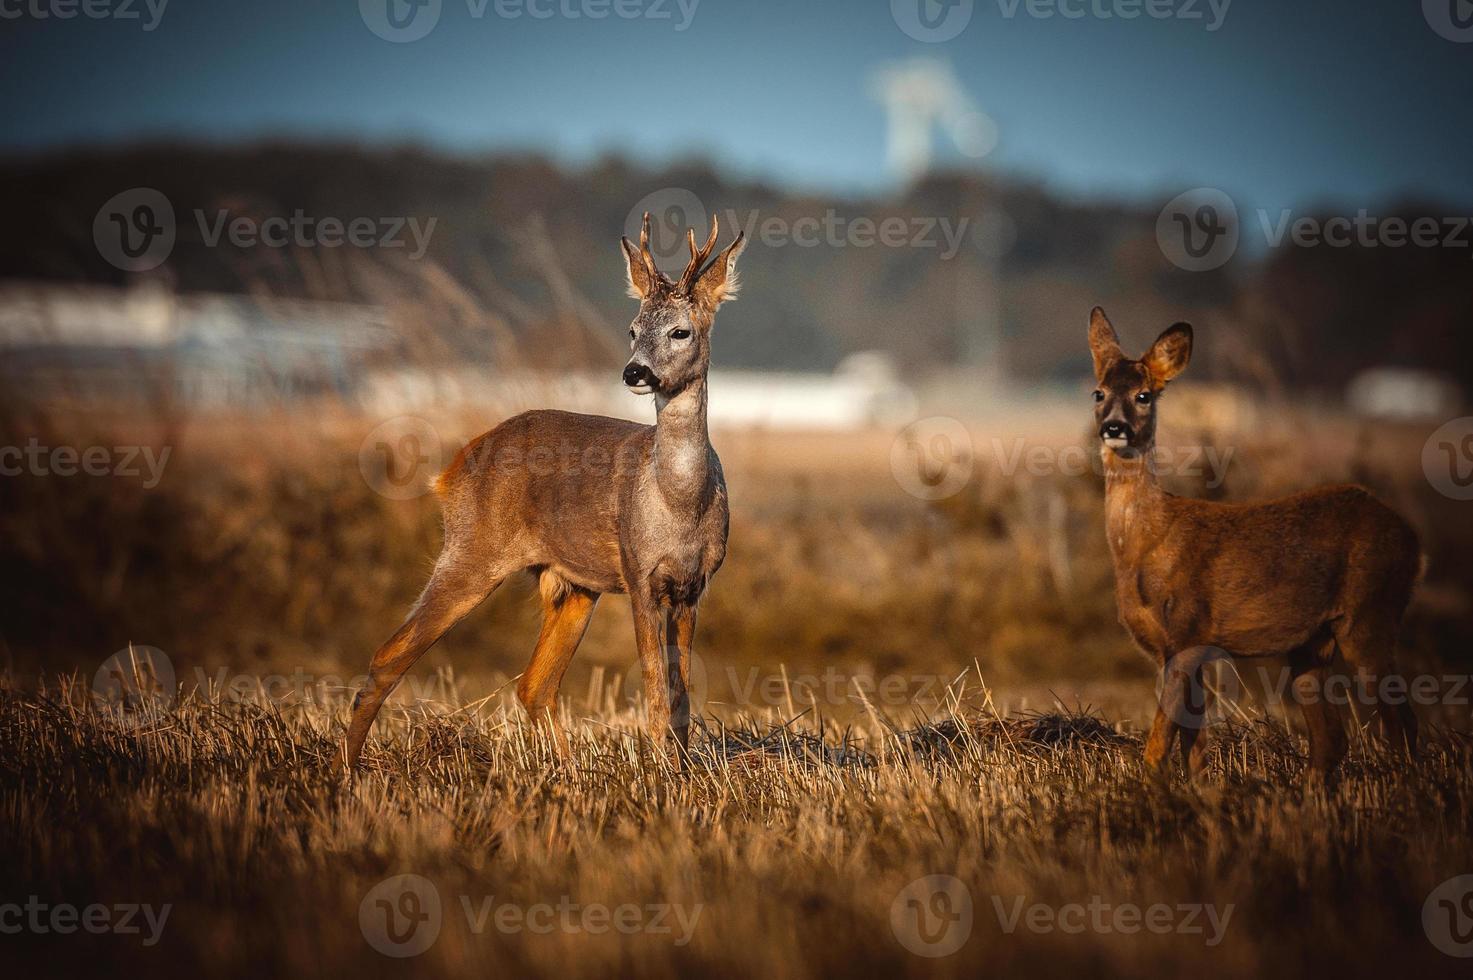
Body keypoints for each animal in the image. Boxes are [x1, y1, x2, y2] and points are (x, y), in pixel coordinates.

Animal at [338, 216, 742, 772]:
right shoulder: (639, 574)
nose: (634, 371)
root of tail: (453, 468)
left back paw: (569, 771)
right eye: (633, 329)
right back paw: (346, 770)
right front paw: (661, 773)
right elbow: (656, 690)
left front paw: (681, 773)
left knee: (534, 685)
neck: (680, 504)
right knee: (388, 656)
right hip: (472, 551)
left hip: (573, 585)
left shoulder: (693, 585)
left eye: (681, 330)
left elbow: (680, 695)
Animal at [1090, 308, 1419, 778]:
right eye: (1098, 392)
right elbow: (1193, 743)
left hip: (1371, 614)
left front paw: (1145, 788)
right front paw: (1199, 790)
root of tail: (1412, 537)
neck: (1145, 544)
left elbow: (1159, 741)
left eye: (1144, 395)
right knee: (1332, 738)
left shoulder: (1186, 633)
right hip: (1311, 645)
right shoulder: (1174, 648)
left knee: (1403, 727)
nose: (1113, 427)